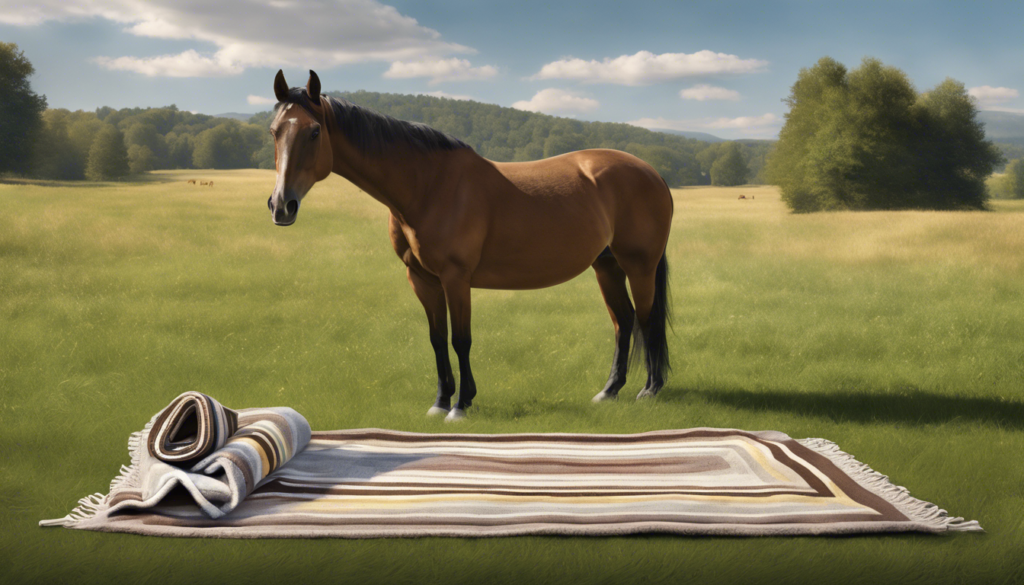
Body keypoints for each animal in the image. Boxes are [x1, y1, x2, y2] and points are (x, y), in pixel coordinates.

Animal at [266, 70, 673, 421]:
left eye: (314, 131)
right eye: (273, 131)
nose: (281, 205)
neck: (429, 187)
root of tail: (652, 173)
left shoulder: (456, 278)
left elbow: (461, 340)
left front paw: (461, 406)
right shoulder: (423, 279)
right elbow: (437, 339)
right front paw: (440, 402)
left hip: (639, 266)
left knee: (647, 318)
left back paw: (650, 391)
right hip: (606, 266)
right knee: (623, 321)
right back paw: (609, 391)